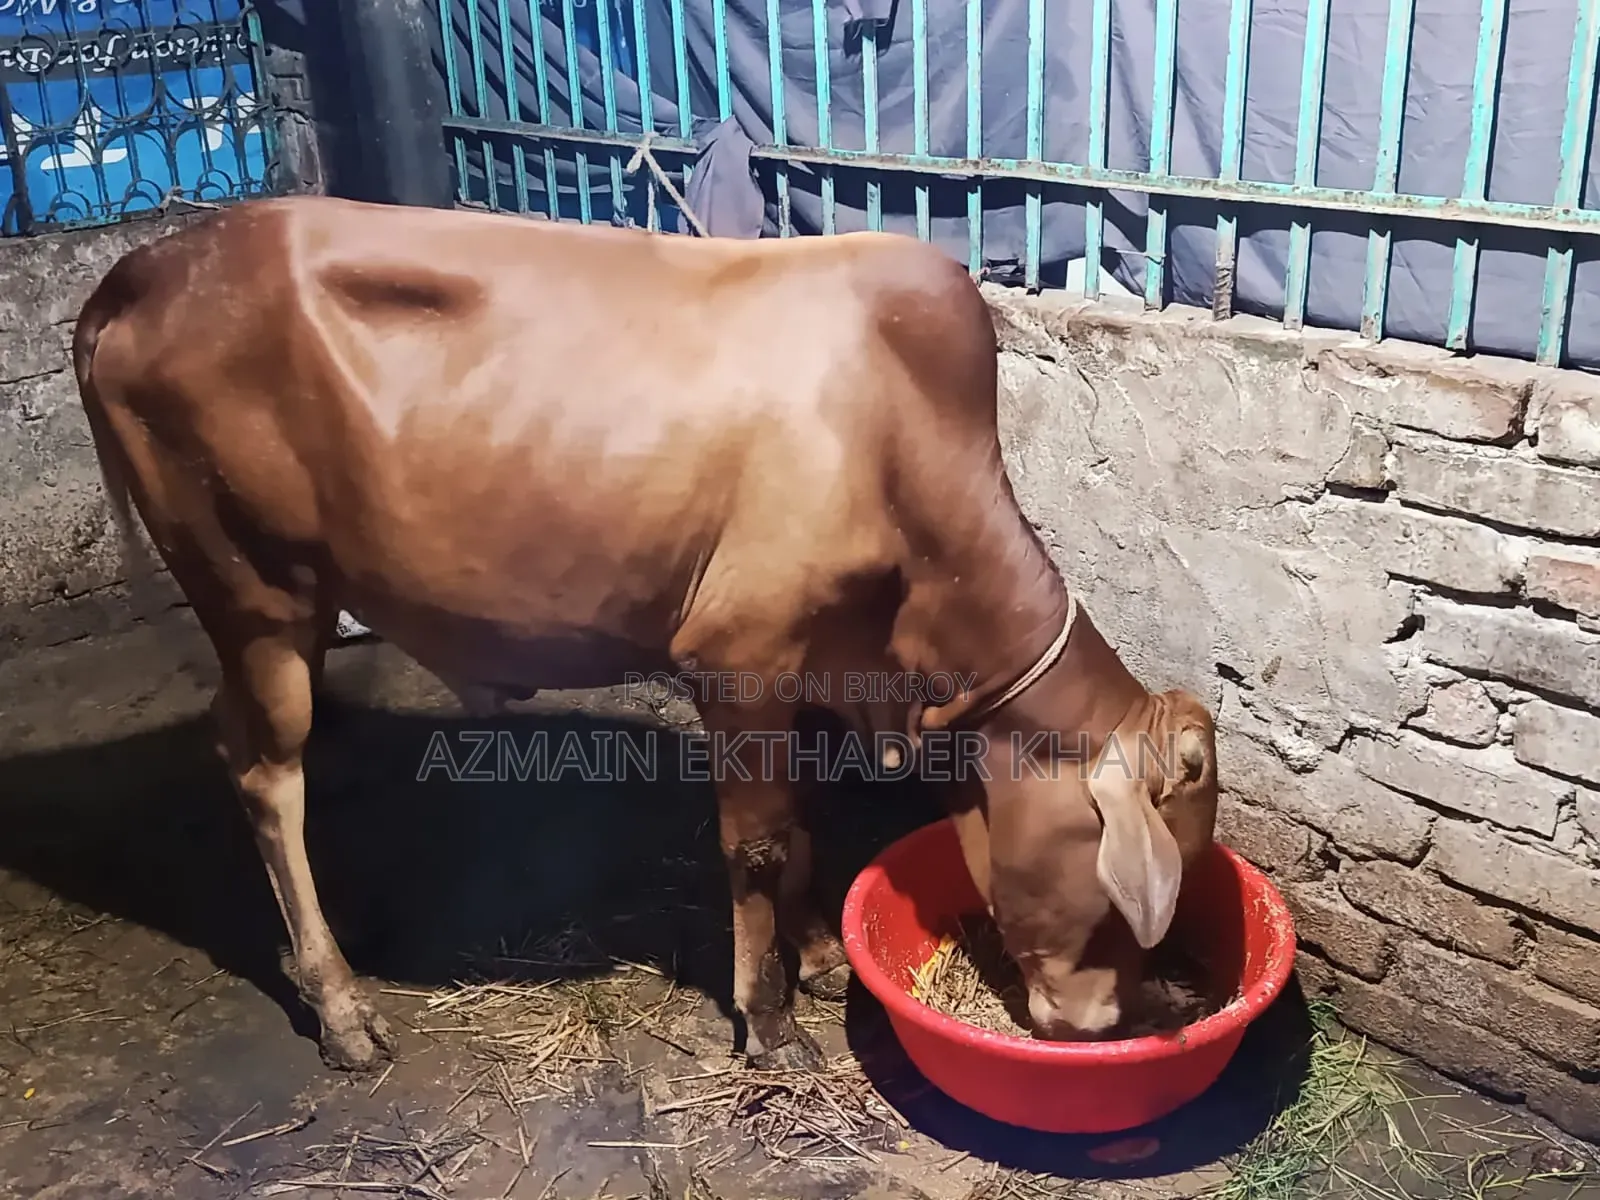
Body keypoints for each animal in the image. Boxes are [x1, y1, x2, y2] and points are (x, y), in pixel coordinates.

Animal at [71, 195, 1219, 1073]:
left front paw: (814, 956)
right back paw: (342, 1007)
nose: (1102, 1023)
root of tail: (143, 266)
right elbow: (756, 841)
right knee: (266, 771)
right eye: (1127, 898)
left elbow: (799, 819)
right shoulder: (738, 657)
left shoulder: (813, 668)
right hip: (255, 590)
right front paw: (768, 1020)